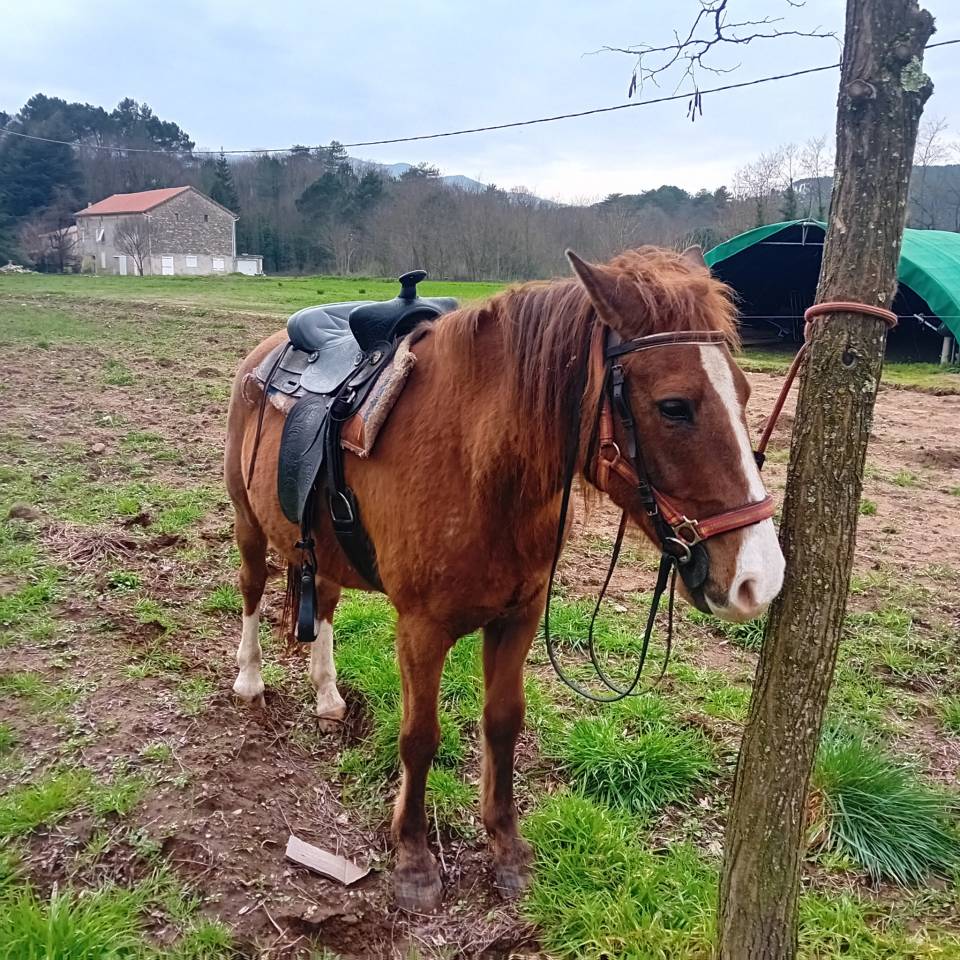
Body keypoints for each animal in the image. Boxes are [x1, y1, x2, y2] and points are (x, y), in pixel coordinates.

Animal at [223, 245, 785, 912]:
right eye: (674, 405)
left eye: (745, 393)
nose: (759, 579)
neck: (479, 463)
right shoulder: (420, 630)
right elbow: (419, 735)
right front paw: (414, 860)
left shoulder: (519, 616)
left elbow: (503, 722)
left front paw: (506, 846)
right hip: (248, 522)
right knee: (251, 589)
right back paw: (250, 679)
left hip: (321, 550)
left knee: (326, 602)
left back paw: (328, 696)